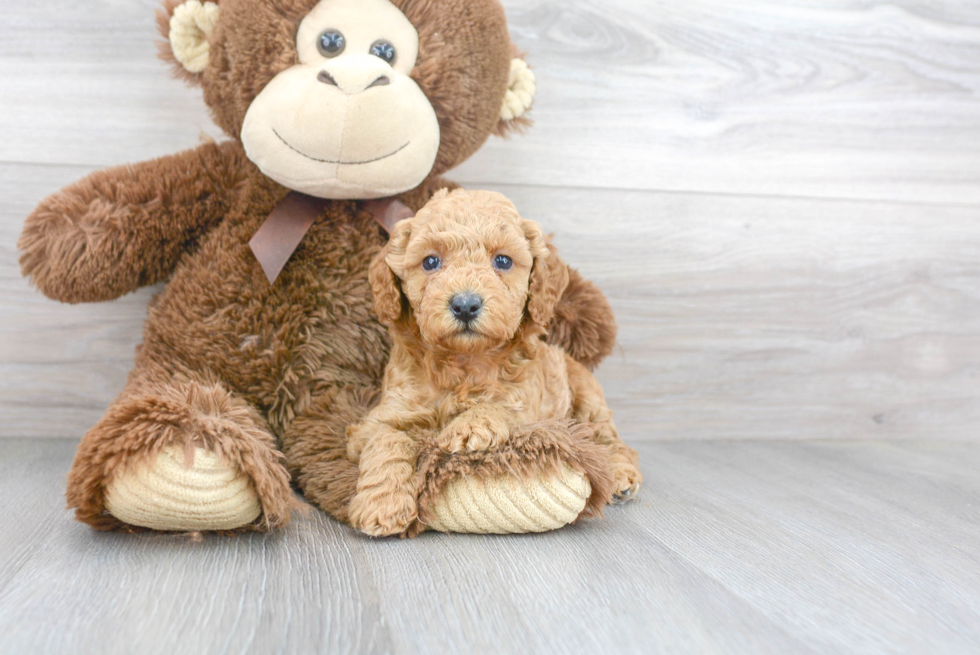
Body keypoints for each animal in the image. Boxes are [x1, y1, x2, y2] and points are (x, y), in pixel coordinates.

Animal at [346, 190, 644, 540]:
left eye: (503, 261)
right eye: (430, 262)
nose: (465, 305)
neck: (465, 360)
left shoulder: (528, 406)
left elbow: (502, 406)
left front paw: (470, 426)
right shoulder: (383, 416)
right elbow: (386, 440)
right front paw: (381, 506)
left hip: (588, 400)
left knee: (611, 441)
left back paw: (621, 476)